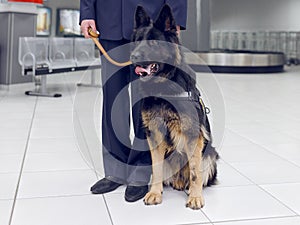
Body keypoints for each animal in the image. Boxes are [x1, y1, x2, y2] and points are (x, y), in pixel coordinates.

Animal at [130, 4, 219, 209]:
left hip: (210, 155)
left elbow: (195, 173)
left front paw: (195, 197)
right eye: (137, 41)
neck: (163, 87)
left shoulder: (193, 135)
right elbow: (156, 168)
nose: (133, 57)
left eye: (153, 43)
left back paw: (189, 188)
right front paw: (155, 193)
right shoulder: (154, 134)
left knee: (195, 173)